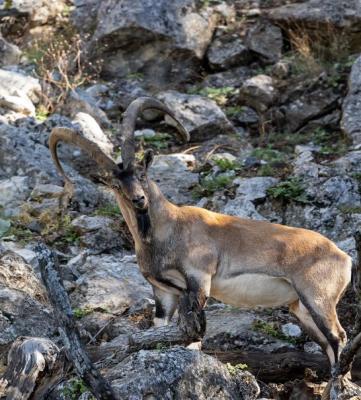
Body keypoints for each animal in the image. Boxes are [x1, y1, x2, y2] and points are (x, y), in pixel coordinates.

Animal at [49, 97, 350, 366]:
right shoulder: (164, 293)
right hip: (302, 308)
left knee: (338, 338)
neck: (167, 231)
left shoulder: (198, 281)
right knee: (329, 345)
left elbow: (194, 340)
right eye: (116, 185)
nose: (139, 200)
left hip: (318, 298)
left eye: (142, 174)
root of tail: (343, 257)